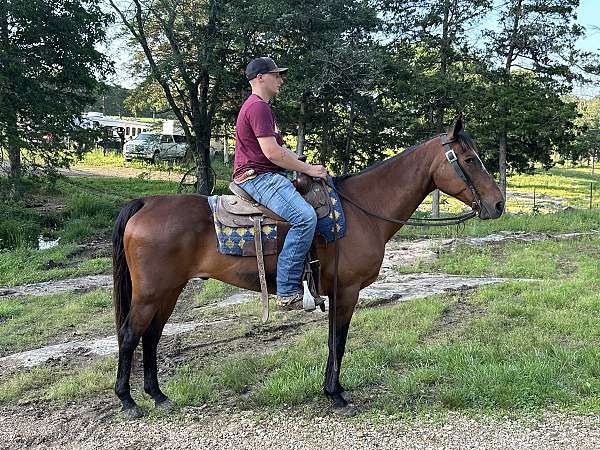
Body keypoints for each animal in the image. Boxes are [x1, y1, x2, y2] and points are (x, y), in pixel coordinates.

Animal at [111, 117, 502, 418]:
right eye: (469, 159)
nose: (498, 204)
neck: (363, 210)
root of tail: (145, 204)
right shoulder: (347, 290)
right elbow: (338, 341)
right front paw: (336, 395)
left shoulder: (336, 291)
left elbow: (332, 340)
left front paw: (332, 389)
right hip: (151, 293)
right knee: (130, 334)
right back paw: (128, 401)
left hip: (169, 290)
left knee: (152, 335)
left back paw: (158, 395)